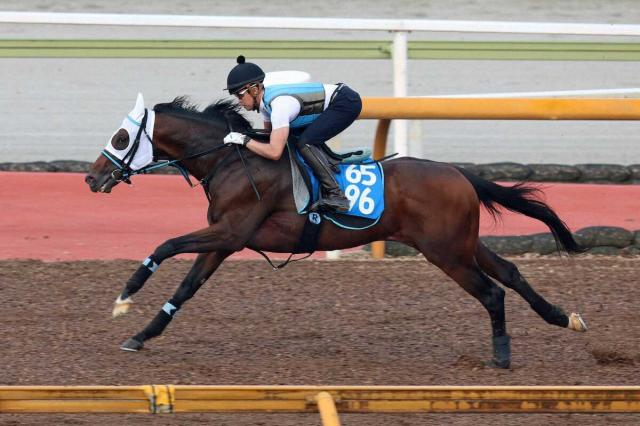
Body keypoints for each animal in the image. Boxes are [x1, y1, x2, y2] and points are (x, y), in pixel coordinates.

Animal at [85, 93, 588, 368]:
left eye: (121, 139)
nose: (92, 178)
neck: (231, 159)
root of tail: (461, 174)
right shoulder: (225, 240)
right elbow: (186, 288)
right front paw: (142, 334)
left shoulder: (229, 233)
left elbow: (165, 244)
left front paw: (125, 296)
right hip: (463, 244)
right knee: (511, 273)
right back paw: (564, 317)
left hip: (446, 252)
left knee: (492, 292)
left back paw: (501, 356)